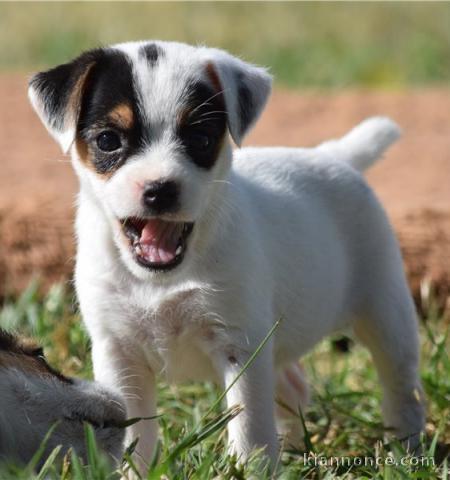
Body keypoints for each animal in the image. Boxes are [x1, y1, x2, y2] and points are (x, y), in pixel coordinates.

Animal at [29, 41, 426, 472]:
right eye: (107, 141)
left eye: (201, 139)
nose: (160, 189)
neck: (163, 279)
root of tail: (336, 157)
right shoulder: (119, 353)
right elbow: (133, 431)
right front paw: (134, 472)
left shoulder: (241, 347)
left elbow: (249, 425)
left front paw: (251, 469)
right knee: (293, 387)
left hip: (385, 313)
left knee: (401, 387)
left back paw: (408, 451)